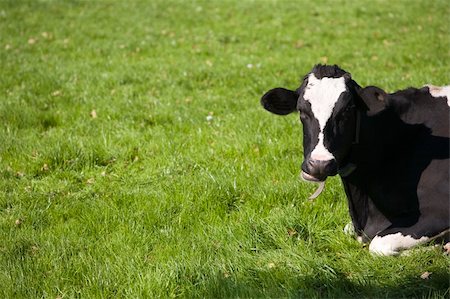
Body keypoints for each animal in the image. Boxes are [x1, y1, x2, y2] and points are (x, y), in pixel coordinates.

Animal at [260, 65, 450, 255]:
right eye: (301, 110)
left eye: (347, 109)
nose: (319, 164)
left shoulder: (439, 209)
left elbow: (378, 245)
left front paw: (436, 247)